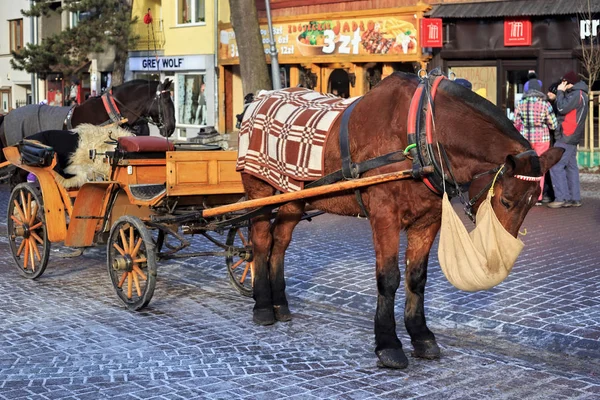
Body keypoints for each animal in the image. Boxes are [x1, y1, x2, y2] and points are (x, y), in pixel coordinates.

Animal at [241, 72, 564, 368]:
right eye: (506, 200)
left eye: (532, 202)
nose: (500, 257)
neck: (422, 134)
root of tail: (257, 99)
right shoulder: (385, 216)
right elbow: (389, 278)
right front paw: (388, 343)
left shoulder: (428, 220)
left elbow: (416, 278)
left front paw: (421, 335)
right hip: (260, 190)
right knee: (261, 241)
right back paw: (263, 306)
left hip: (292, 198)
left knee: (279, 242)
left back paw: (280, 303)